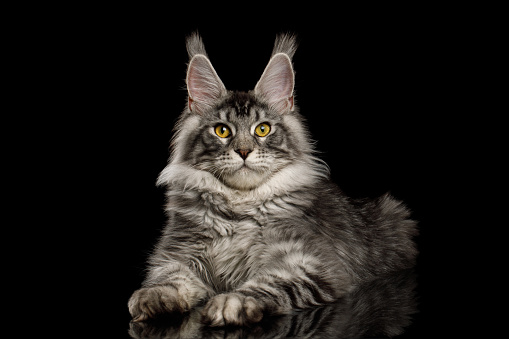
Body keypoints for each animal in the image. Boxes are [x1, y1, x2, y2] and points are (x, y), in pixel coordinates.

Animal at [127, 33, 416, 328]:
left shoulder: (309, 263)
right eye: (222, 131)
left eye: (263, 129)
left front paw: (233, 302)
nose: (244, 151)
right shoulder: (177, 254)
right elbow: (170, 278)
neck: (238, 209)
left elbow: (270, 284)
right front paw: (154, 297)